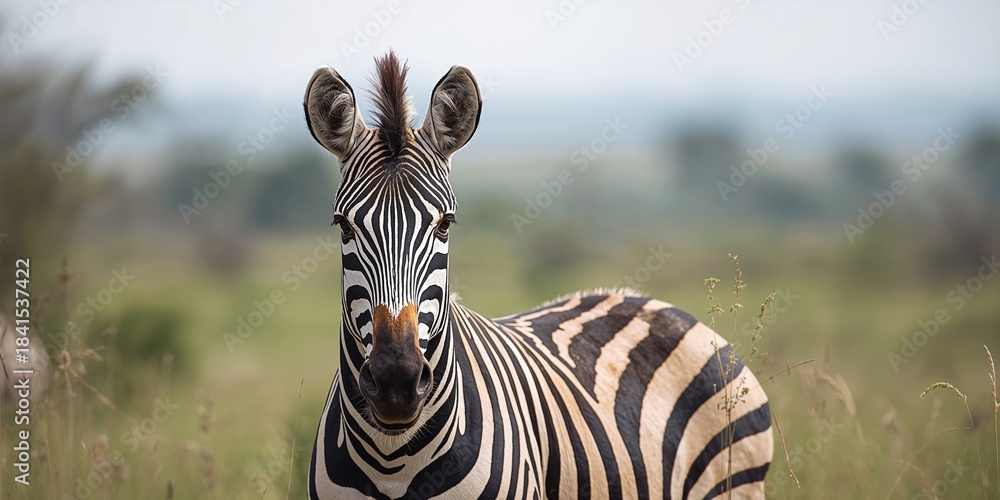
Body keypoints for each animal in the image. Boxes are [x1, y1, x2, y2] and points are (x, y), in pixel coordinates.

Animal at [304, 51, 773, 500]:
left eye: (445, 224)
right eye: (343, 227)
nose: (396, 382)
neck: (393, 464)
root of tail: (654, 304)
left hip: (736, 483)